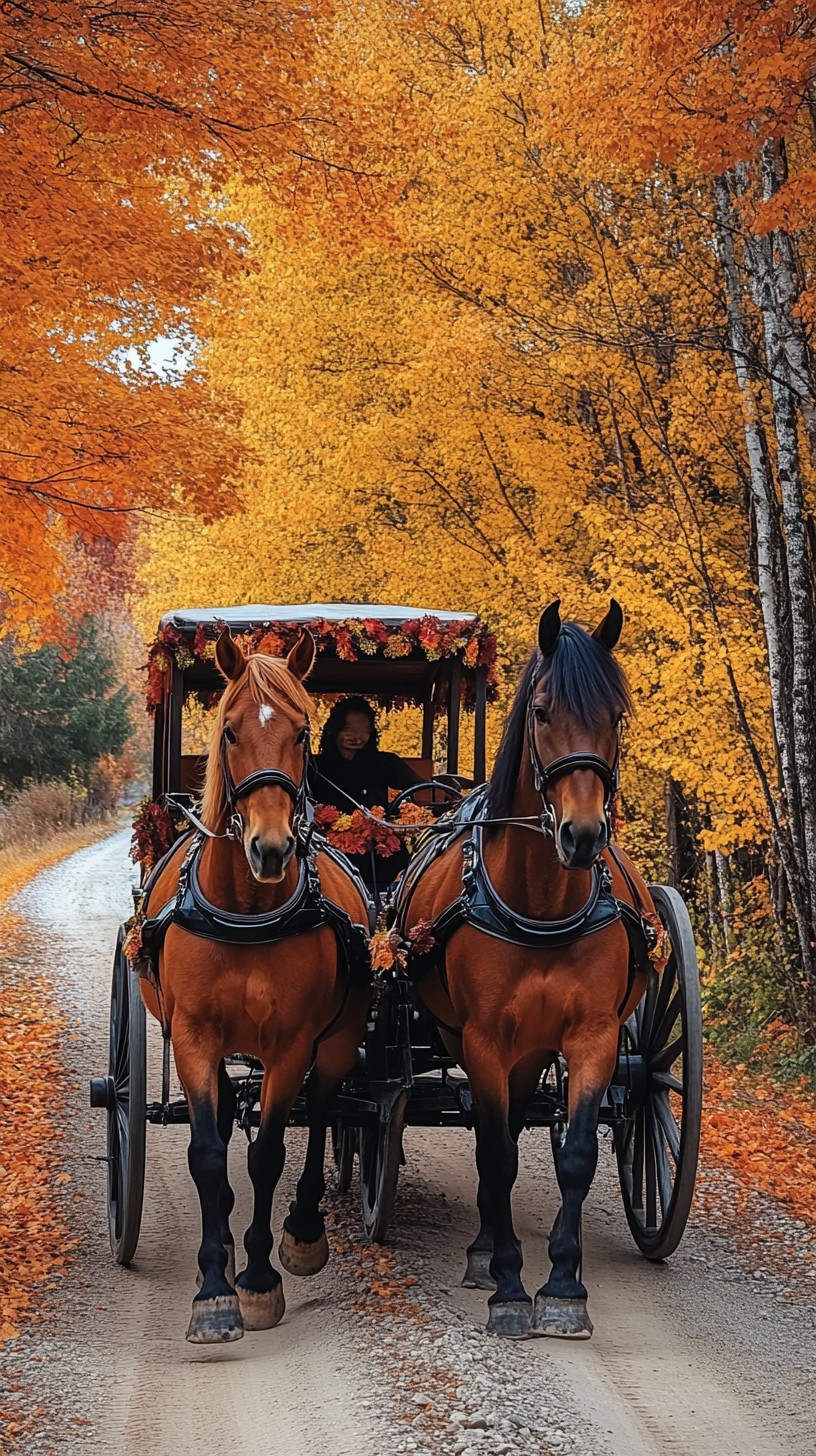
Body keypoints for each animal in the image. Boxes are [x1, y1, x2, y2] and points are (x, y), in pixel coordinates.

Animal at [135, 628, 373, 1343]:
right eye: (231, 732)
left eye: (301, 733)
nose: (270, 849)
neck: (245, 909)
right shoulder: (193, 1038)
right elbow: (208, 1154)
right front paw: (214, 1286)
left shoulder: (292, 1043)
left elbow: (268, 1151)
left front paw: (261, 1279)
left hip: (338, 1040)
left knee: (322, 1111)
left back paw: (302, 1230)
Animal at [395, 600, 657, 1339]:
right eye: (541, 711)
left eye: (616, 716)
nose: (582, 835)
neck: (541, 903)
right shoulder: (484, 1038)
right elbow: (496, 1153)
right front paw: (510, 1288)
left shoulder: (593, 1037)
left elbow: (575, 1153)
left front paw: (564, 1287)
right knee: (496, 1136)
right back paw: (488, 1254)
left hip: (535, 1047)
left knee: (513, 1123)